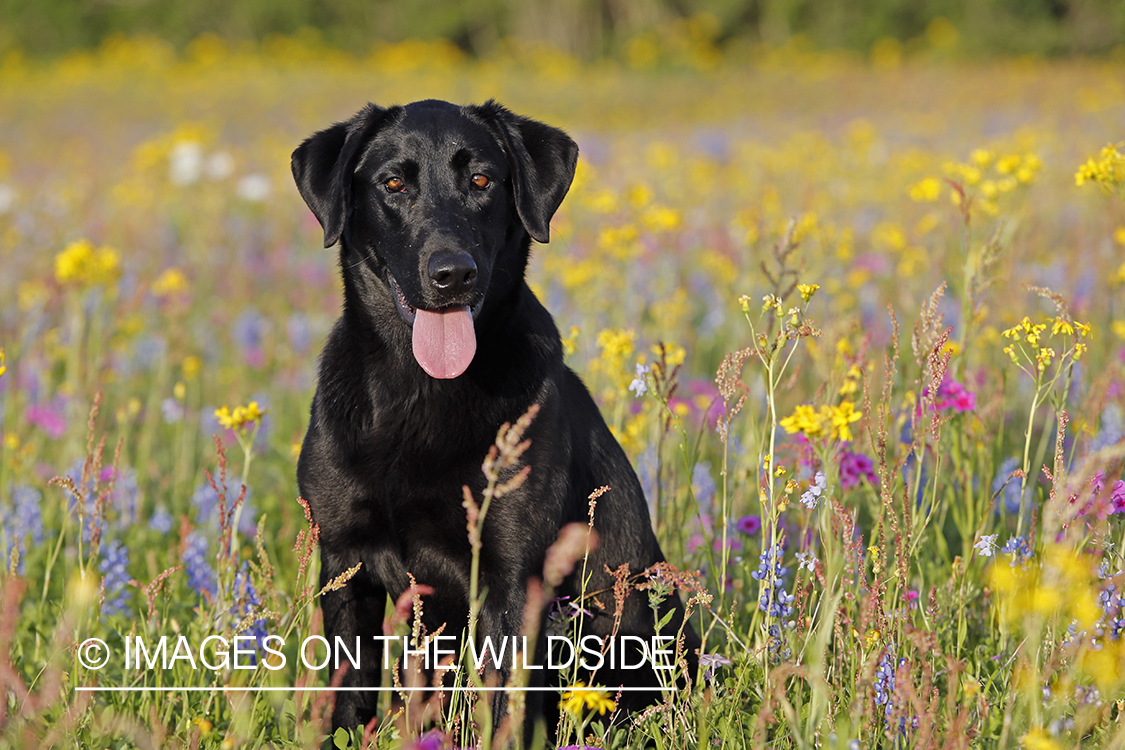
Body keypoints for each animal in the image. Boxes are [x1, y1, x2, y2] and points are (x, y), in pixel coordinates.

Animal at [290, 96, 693, 737]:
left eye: (481, 180)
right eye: (394, 183)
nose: (453, 274)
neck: (420, 392)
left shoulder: (510, 576)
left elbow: (503, 709)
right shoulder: (345, 561)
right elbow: (348, 697)